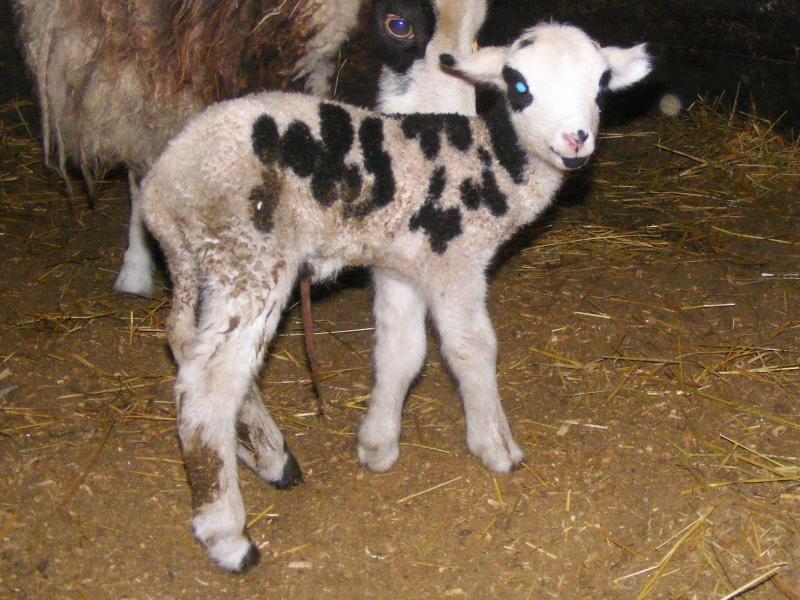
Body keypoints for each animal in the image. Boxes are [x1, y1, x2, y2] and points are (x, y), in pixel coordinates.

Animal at [140, 22, 652, 572]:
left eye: (601, 84)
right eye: (519, 85)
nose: (575, 139)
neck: (495, 162)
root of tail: (161, 189)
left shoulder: (401, 267)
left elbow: (400, 354)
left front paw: (378, 445)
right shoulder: (456, 260)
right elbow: (472, 350)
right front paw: (495, 446)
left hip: (203, 263)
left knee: (186, 345)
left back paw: (270, 457)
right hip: (249, 255)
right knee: (211, 385)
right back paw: (227, 534)